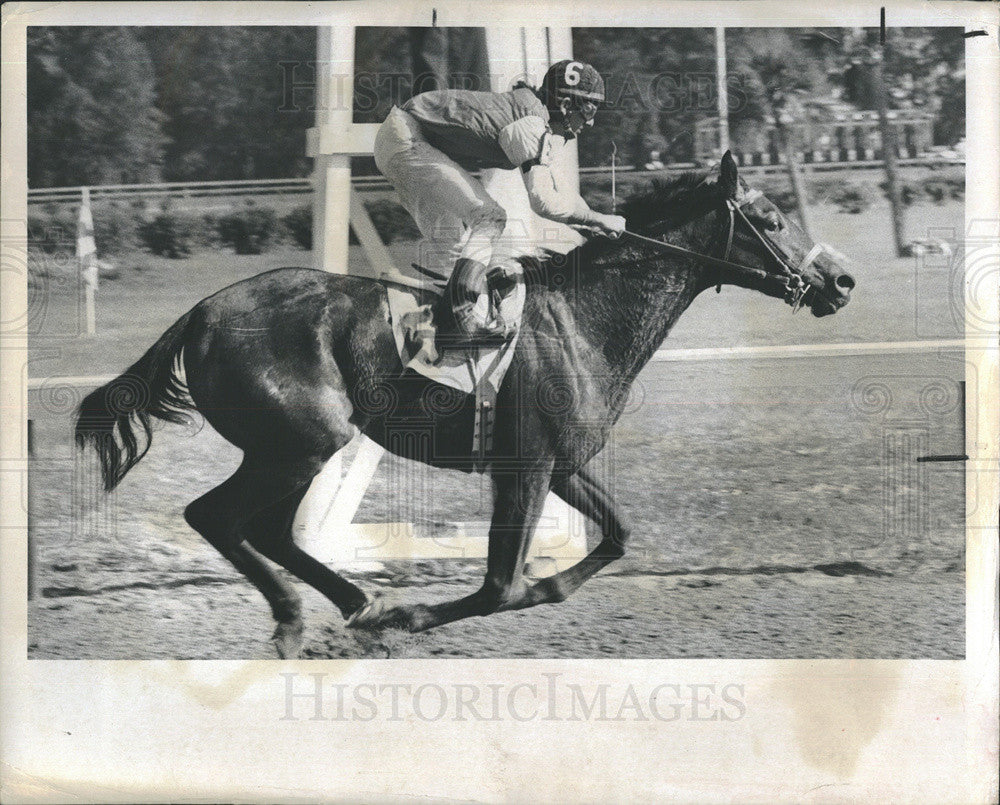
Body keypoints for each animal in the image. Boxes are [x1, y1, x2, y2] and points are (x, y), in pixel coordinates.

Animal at [74, 154, 856, 656]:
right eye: (770, 217)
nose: (841, 280)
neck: (582, 319)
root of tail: (201, 313)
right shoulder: (525, 468)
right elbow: (500, 586)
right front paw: (413, 614)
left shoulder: (559, 464)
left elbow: (616, 537)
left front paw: (537, 585)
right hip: (302, 441)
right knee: (217, 516)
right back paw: (303, 617)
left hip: (293, 448)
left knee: (262, 527)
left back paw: (354, 603)